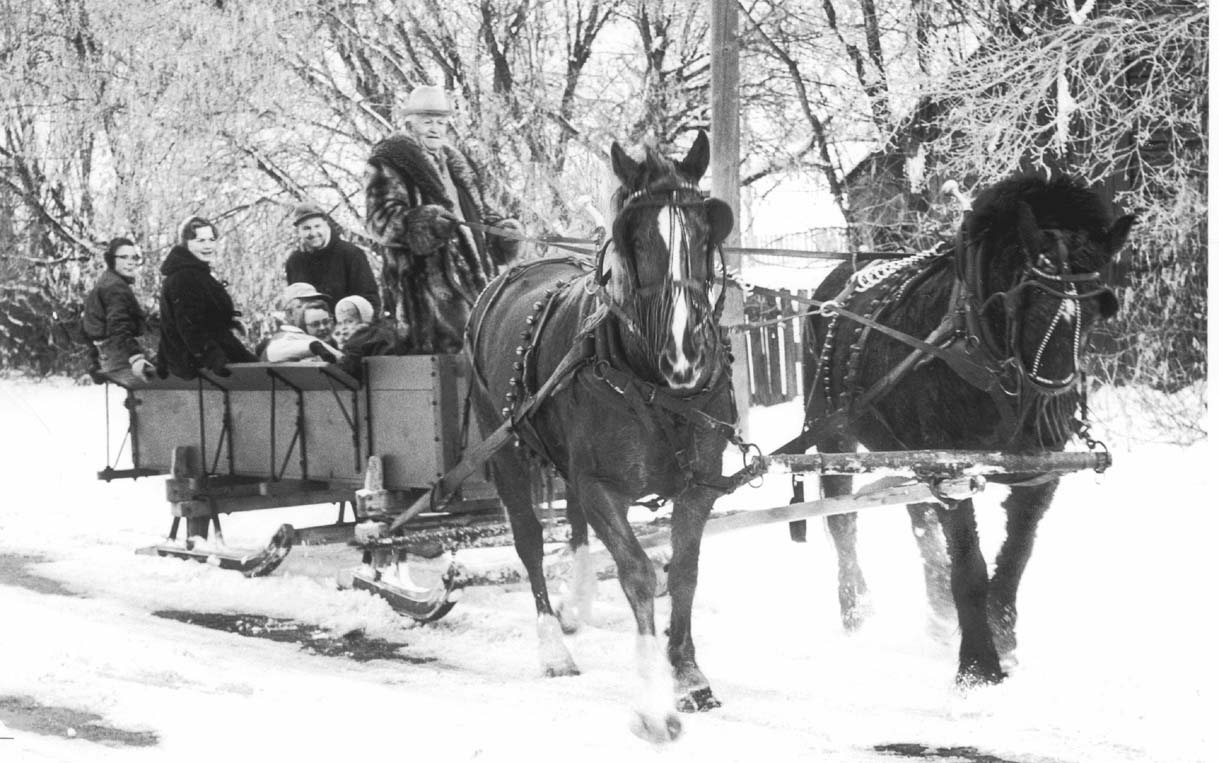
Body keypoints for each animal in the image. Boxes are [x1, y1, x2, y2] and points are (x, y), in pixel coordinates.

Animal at [463, 130, 731, 736]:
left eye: (707, 230)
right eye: (635, 237)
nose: (685, 355)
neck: (656, 386)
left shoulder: (699, 486)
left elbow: (684, 572)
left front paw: (688, 675)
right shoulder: (600, 486)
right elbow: (638, 574)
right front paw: (654, 701)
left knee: (575, 528)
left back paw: (577, 604)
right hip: (503, 445)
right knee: (529, 541)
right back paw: (553, 648)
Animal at [799, 174, 1131, 682]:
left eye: (1098, 310)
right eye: (1030, 303)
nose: (1050, 414)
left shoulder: (1038, 475)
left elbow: (1015, 557)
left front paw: (1002, 634)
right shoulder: (952, 466)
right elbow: (970, 565)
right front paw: (979, 666)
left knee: (918, 514)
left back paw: (938, 612)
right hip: (833, 430)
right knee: (841, 519)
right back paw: (855, 607)